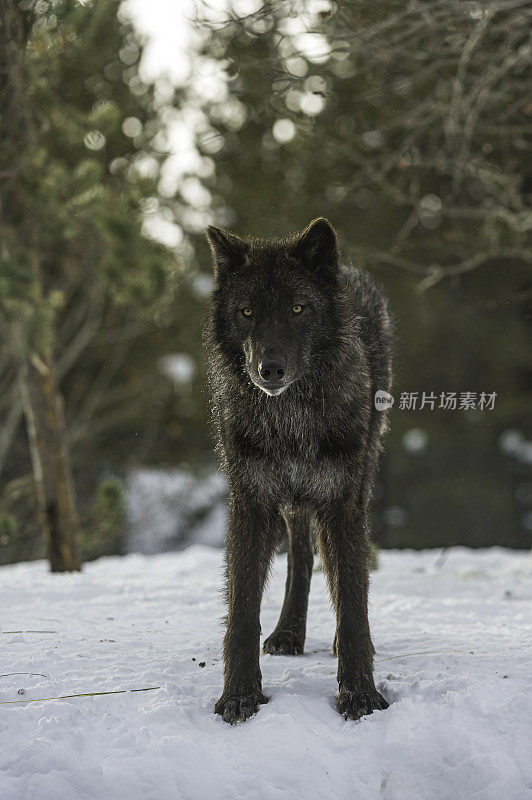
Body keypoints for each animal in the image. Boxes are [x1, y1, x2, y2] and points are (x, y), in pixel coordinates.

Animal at [206, 219, 392, 724]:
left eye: (297, 308)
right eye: (247, 311)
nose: (268, 368)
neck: (290, 420)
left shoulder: (342, 504)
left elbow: (353, 603)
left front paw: (361, 695)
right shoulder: (251, 503)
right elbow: (242, 611)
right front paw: (240, 696)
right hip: (289, 504)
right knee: (302, 555)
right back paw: (288, 633)